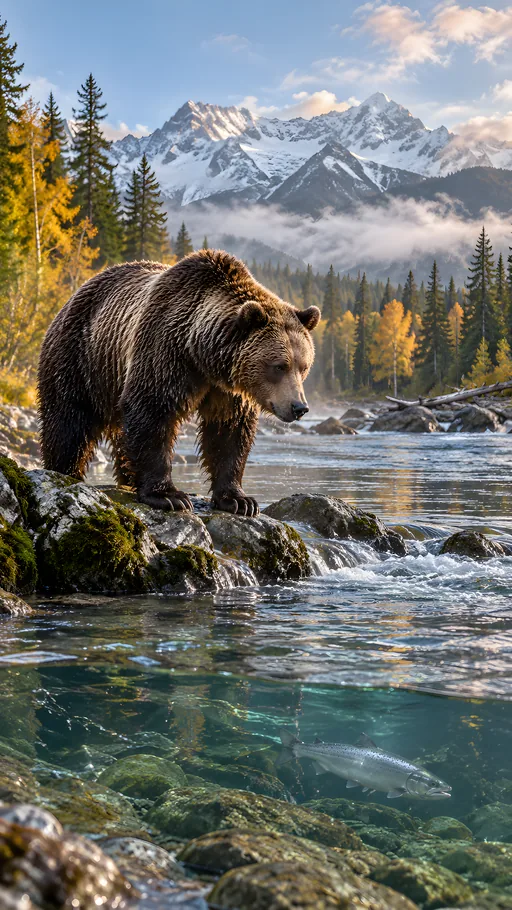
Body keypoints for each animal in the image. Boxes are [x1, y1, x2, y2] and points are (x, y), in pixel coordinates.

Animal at [37, 250, 321, 516]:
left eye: (304, 367)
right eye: (279, 366)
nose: (299, 407)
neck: (202, 354)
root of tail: (73, 296)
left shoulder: (228, 389)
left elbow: (229, 432)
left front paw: (239, 500)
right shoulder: (164, 350)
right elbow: (152, 412)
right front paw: (168, 495)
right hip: (82, 359)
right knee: (68, 423)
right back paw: (64, 472)